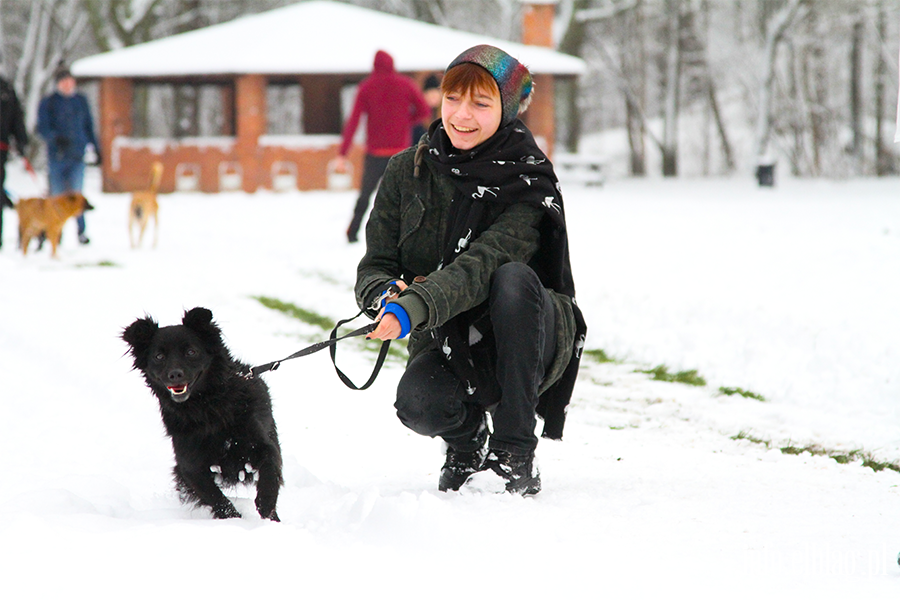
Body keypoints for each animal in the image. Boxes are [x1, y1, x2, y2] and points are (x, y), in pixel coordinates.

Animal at [120, 308, 282, 516]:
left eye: (191, 352)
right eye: (159, 356)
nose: (175, 374)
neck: (206, 406)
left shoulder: (260, 443)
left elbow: (270, 466)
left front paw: (266, 503)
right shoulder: (190, 466)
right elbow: (216, 498)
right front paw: (234, 518)